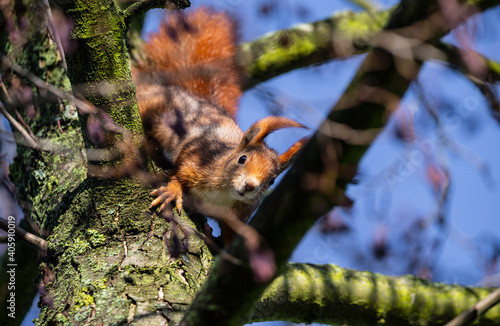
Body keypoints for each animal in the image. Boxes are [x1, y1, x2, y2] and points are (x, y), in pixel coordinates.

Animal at [133, 7, 308, 243]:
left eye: (272, 181)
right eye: (242, 159)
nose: (250, 186)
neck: (224, 194)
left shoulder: (237, 216)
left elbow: (229, 236)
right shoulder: (197, 160)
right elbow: (179, 173)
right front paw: (172, 191)